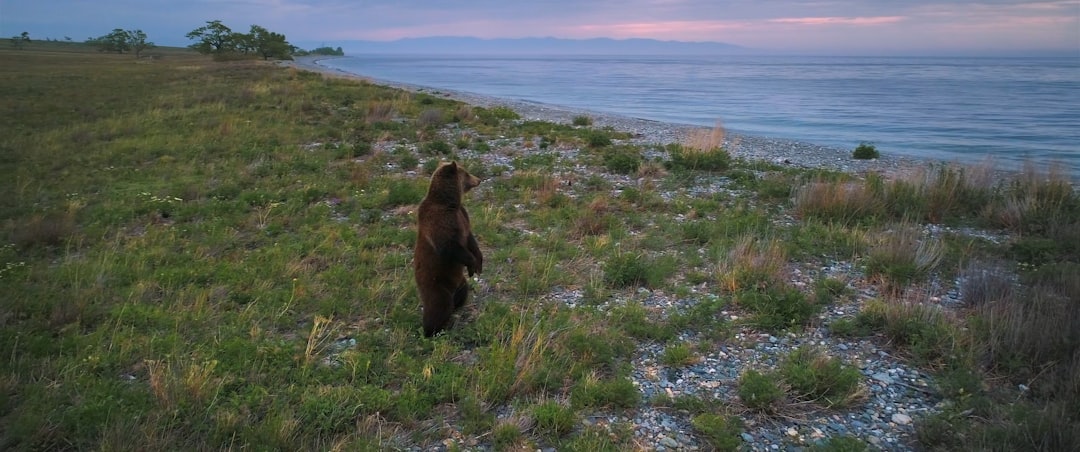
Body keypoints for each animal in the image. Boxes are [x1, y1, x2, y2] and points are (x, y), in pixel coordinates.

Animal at [414, 161, 483, 337]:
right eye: (466, 173)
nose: (479, 179)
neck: (449, 203)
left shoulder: (462, 216)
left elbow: (470, 239)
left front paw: (479, 263)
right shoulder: (439, 220)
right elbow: (449, 246)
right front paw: (472, 264)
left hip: (459, 282)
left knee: (462, 292)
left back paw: (457, 307)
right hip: (435, 285)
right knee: (438, 306)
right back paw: (431, 330)